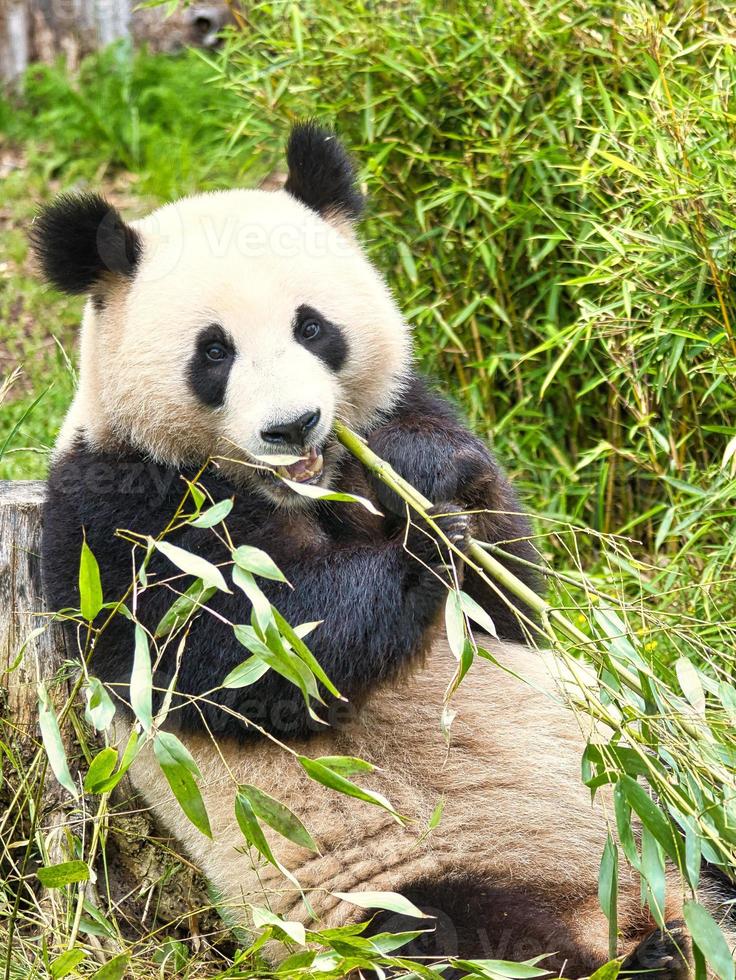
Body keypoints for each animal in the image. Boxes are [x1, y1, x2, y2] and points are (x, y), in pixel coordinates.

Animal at [33, 122, 732, 972]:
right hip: (396, 888)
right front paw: (422, 551)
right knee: (463, 939)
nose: (293, 426)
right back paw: (645, 956)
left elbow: (509, 596)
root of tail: (629, 904)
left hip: (659, 819)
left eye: (311, 326)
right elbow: (241, 652)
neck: (300, 492)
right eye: (214, 352)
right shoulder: (115, 511)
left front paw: (426, 483)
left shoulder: (406, 412)